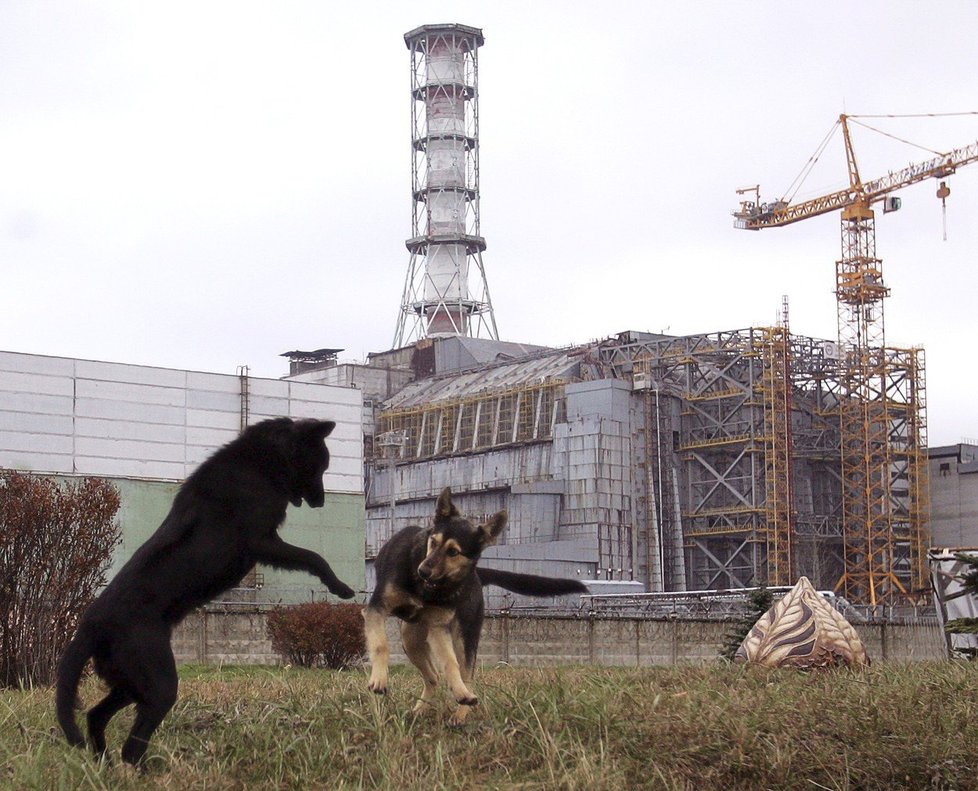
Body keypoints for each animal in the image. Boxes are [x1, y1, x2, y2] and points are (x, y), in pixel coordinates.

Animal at [54, 418, 354, 764]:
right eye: (321, 466)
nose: (321, 501)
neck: (261, 463)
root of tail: (91, 624)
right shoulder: (262, 541)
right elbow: (313, 557)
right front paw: (340, 586)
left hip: (128, 683)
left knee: (95, 716)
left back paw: (105, 764)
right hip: (158, 682)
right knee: (132, 745)